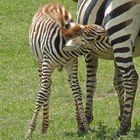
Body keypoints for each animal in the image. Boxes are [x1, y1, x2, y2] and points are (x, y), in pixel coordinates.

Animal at [24, 2, 105, 138]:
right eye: (97, 38)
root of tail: (51, 3)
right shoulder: (47, 64)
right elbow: (41, 94)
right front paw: (30, 131)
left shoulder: (72, 64)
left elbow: (77, 92)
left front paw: (85, 126)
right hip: (40, 62)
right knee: (46, 88)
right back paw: (44, 127)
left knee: (71, 86)